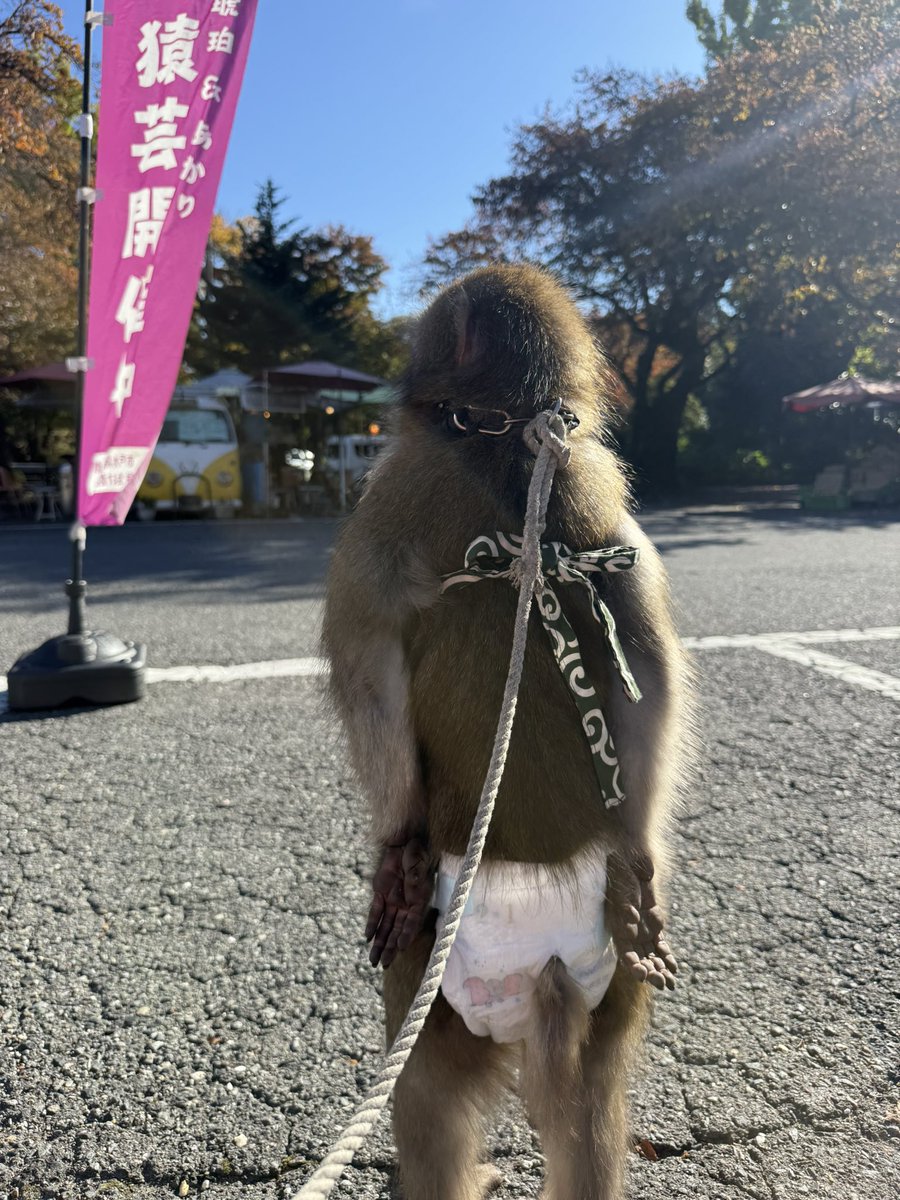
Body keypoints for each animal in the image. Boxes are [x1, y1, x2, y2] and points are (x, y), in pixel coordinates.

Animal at [321, 264, 690, 1200]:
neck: (514, 440)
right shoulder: (625, 539)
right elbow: (652, 675)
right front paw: (648, 865)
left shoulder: (384, 500)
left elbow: (368, 666)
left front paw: (396, 849)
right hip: (612, 984)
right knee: (593, 1106)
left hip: (434, 980)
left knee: (423, 1100)